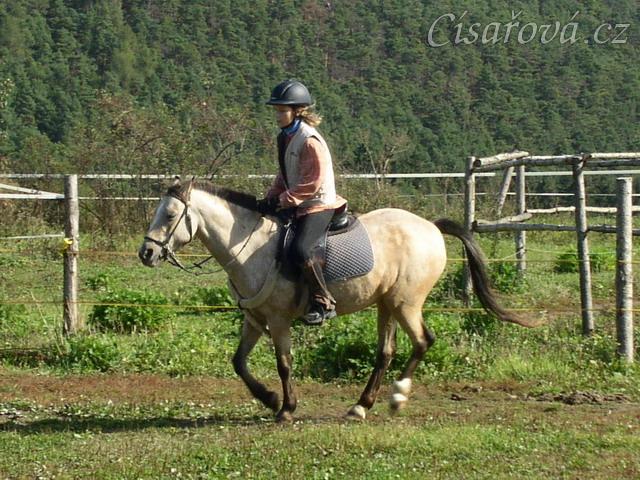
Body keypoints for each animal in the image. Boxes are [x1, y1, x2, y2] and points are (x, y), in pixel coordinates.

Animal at [139, 178, 539, 422]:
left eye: (170, 214)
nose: (147, 253)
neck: (250, 246)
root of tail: (430, 227)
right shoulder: (254, 318)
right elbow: (238, 362)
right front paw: (269, 399)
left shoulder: (279, 320)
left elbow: (284, 364)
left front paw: (286, 408)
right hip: (386, 304)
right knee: (386, 352)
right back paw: (361, 406)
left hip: (406, 303)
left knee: (423, 341)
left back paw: (397, 397)